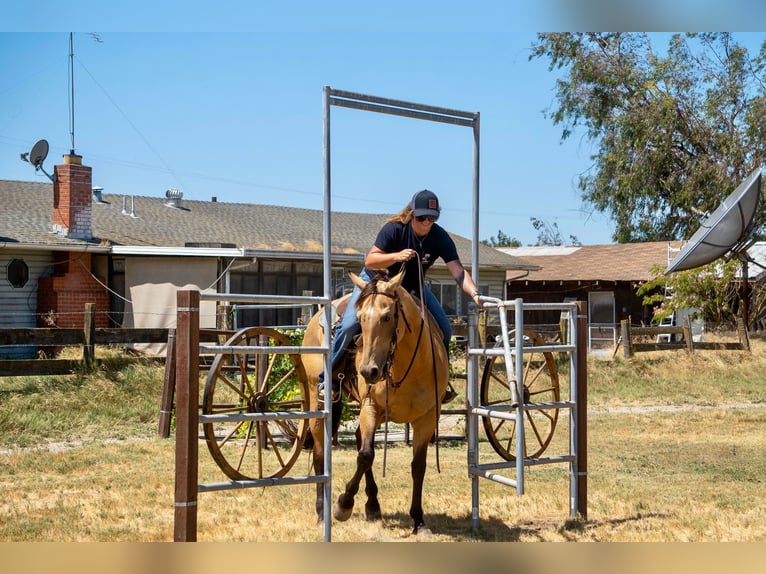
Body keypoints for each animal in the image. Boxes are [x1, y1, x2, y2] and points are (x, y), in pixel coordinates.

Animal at [304, 270, 452, 536]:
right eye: (360, 318)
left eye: (387, 316)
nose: (368, 371)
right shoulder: (371, 407)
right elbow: (365, 456)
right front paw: (343, 505)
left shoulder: (427, 418)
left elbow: (418, 466)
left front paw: (419, 520)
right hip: (316, 400)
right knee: (321, 453)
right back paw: (322, 513)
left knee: (356, 439)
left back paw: (373, 505)